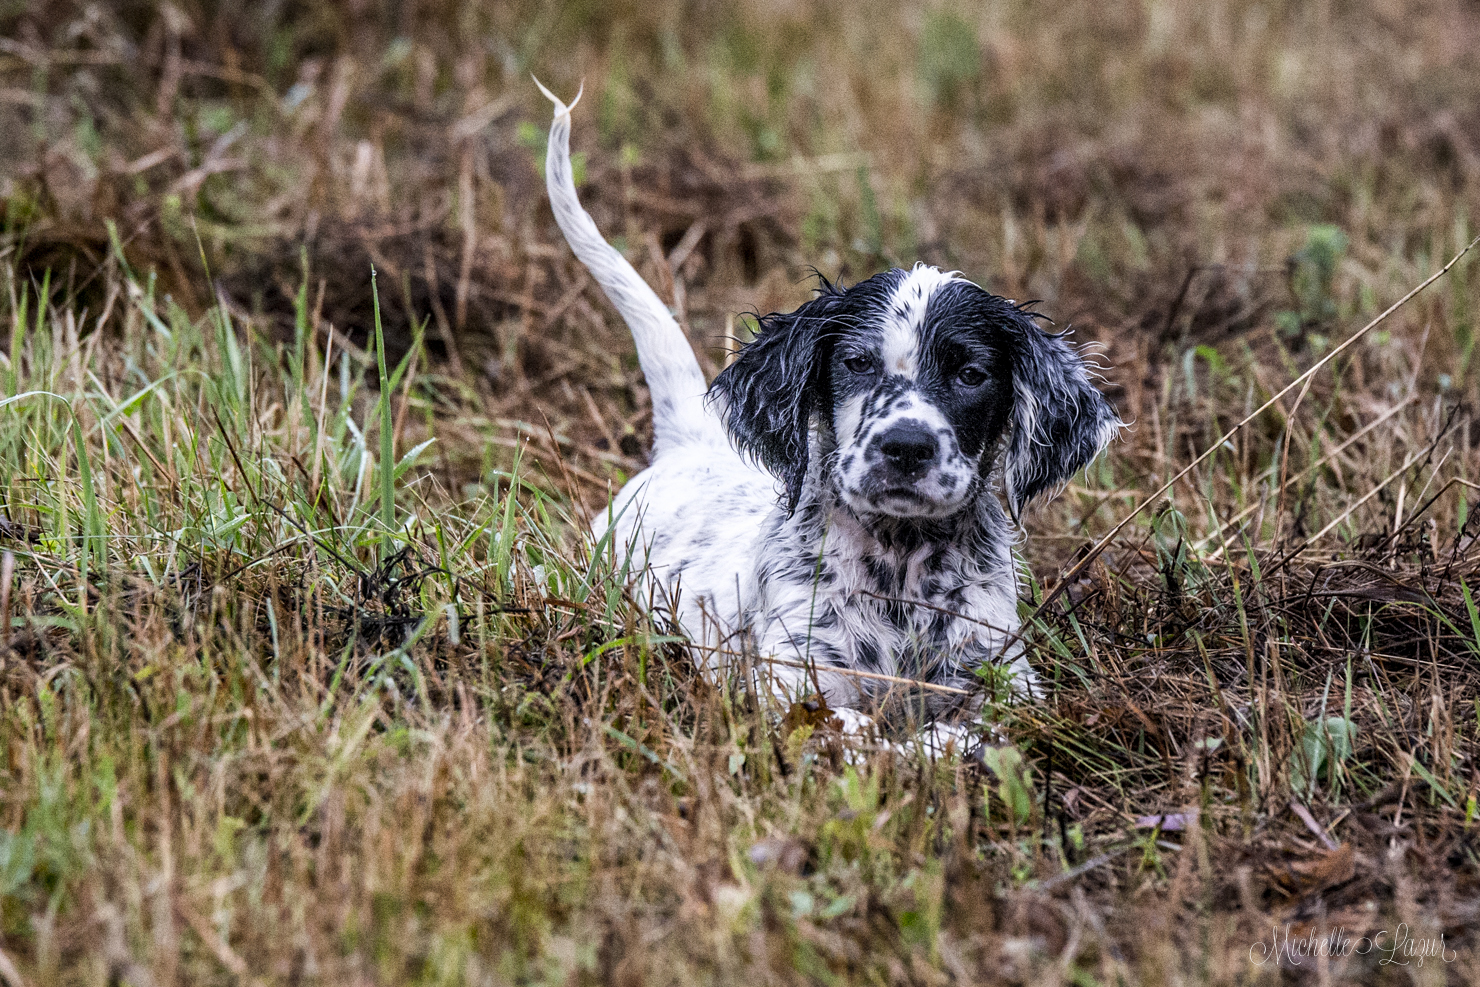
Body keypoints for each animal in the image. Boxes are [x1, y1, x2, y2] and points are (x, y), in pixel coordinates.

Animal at [538, 85, 1112, 745]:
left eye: (971, 375)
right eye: (857, 363)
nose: (906, 447)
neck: (899, 567)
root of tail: (688, 446)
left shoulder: (1007, 684)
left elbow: (965, 731)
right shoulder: (792, 686)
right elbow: (863, 732)